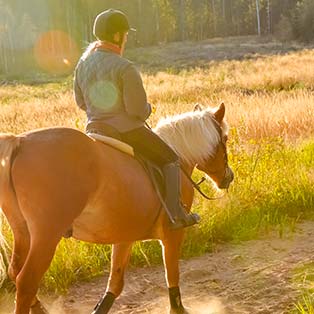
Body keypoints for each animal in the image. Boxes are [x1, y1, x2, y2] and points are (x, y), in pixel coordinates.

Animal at [0, 102, 233, 312]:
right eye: (225, 139)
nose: (228, 177)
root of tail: (20, 141)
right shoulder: (172, 234)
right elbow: (172, 275)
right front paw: (178, 309)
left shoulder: (125, 235)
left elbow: (115, 283)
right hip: (46, 236)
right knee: (26, 281)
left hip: (23, 233)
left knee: (15, 272)